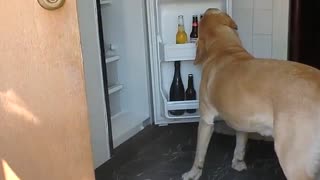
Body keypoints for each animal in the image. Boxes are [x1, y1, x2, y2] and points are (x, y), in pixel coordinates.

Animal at [182, 7, 320, 179]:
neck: (225, 50)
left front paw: (193, 173)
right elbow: (240, 145)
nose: (203, 11)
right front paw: (238, 163)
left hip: (294, 162)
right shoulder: (241, 120)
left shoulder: (206, 120)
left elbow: (199, 153)